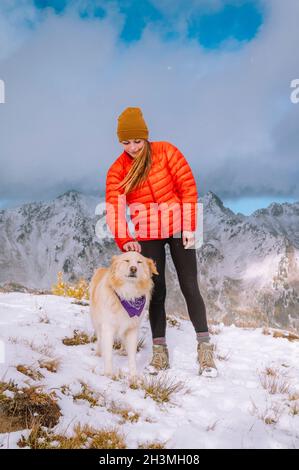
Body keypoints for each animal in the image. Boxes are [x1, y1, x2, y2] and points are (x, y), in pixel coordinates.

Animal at [89, 252, 158, 380]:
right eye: (126, 261)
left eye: (139, 262)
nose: (133, 268)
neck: (128, 295)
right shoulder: (108, 328)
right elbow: (108, 353)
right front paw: (109, 373)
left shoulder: (132, 329)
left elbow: (132, 357)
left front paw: (134, 376)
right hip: (97, 321)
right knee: (100, 338)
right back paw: (98, 352)